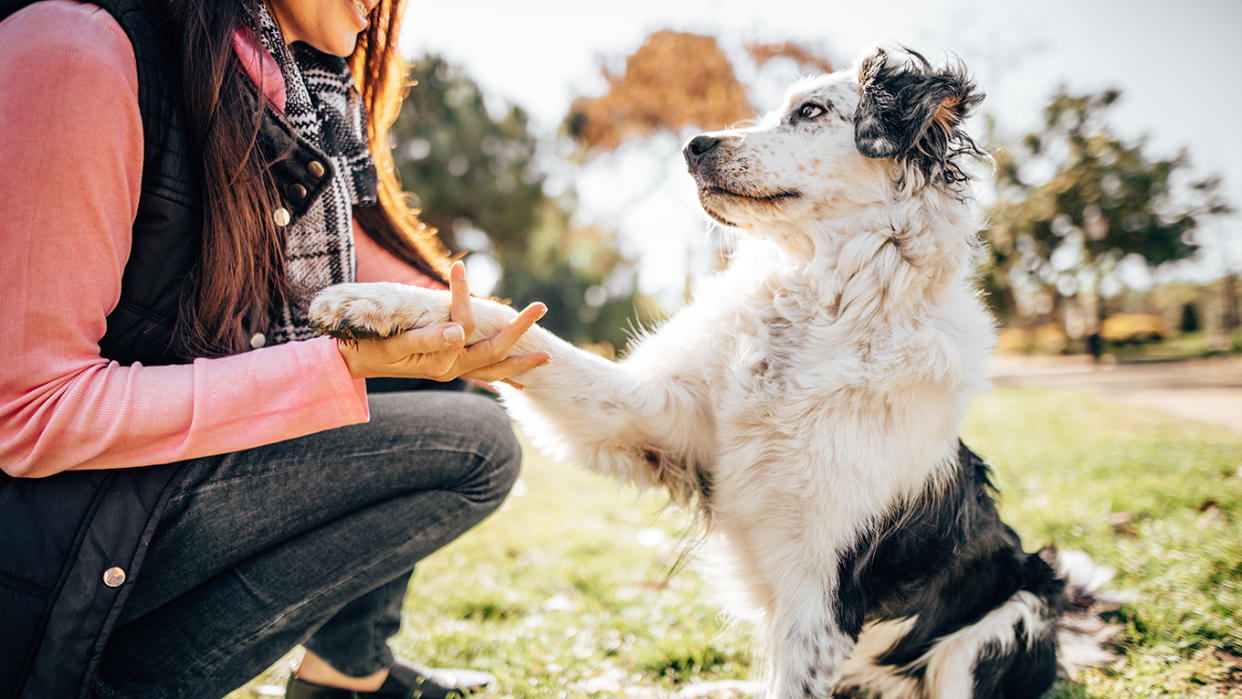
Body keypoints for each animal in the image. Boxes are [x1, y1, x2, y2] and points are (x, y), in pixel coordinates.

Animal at [308, 46, 1117, 695]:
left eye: (811, 111)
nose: (693, 145)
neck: (817, 302)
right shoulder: (657, 421)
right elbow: (517, 327)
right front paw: (376, 302)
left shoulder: (821, 592)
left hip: (995, 629)